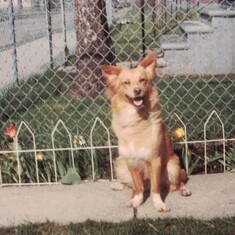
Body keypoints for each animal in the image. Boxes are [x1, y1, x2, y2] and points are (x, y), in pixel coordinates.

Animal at [99, 51, 191, 211]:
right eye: (126, 83)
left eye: (142, 80)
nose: (137, 90)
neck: (136, 119)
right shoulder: (130, 161)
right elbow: (137, 187)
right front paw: (136, 201)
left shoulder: (154, 160)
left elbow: (155, 188)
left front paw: (159, 204)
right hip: (120, 163)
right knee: (130, 184)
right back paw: (119, 185)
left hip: (172, 165)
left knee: (178, 182)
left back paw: (184, 190)